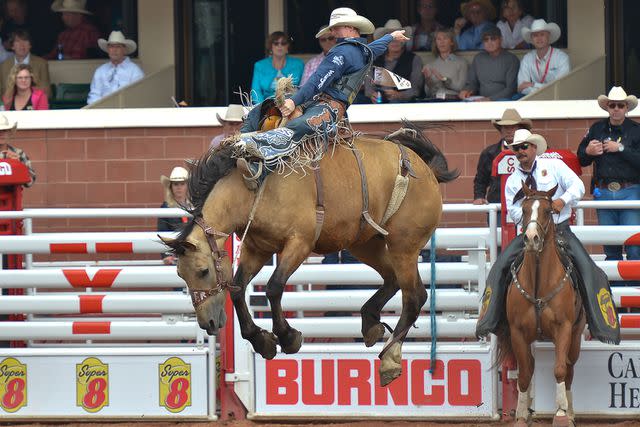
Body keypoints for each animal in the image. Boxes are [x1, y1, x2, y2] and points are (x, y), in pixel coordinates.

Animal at [162, 121, 458, 388]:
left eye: (203, 271)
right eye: (180, 275)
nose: (208, 323)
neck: (253, 188)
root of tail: (423, 168)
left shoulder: (300, 243)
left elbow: (274, 287)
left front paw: (288, 337)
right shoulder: (257, 249)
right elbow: (237, 288)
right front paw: (262, 341)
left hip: (403, 245)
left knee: (414, 296)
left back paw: (390, 360)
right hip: (365, 243)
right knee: (394, 281)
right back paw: (369, 322)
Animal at [498, 185, 588, 427]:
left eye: (548, 211)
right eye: (524, 209)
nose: (532, 238)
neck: (539, 281)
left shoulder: (564, 328)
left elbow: (559, 369)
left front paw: (561, 414)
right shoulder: (518, 332)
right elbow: (524, 374)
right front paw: (521, 416)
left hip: (575, 336)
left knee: (569, 368)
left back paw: (570, 412)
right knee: (530, 367)